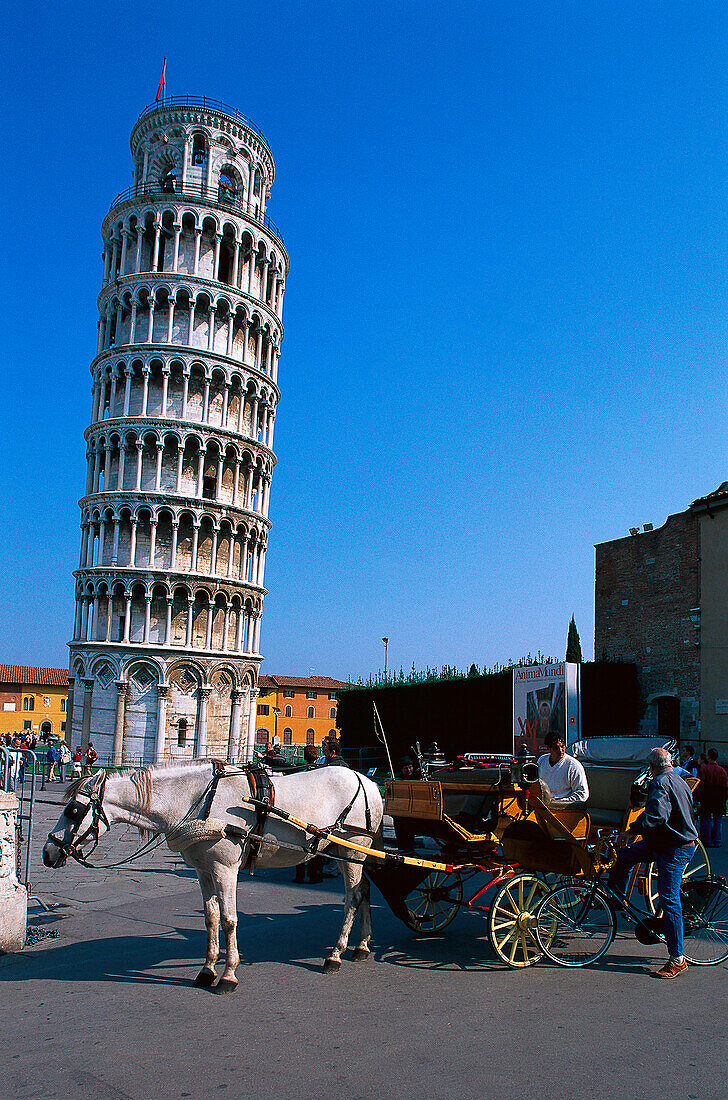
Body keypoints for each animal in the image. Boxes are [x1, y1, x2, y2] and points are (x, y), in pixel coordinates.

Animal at [42, 765, 384, 990]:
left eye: (73, 811)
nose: (48, 852)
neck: (196, 801)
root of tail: (368, 781)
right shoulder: (203, 870)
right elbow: (211, 918)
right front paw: (207, 970)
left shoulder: (225, 868)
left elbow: (230, 919)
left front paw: (228, 974)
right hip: (352, 853)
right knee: (365, 890)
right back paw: (362, 946)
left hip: (351, 849)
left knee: (353, 896)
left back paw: (336, 954)